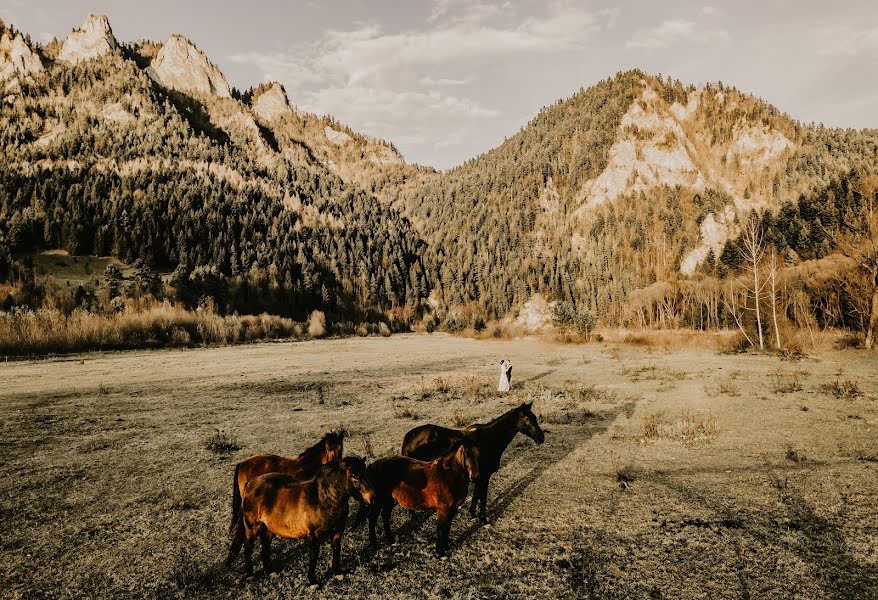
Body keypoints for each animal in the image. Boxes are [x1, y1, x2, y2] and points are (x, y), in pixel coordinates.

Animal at [227, 458, 374, 584]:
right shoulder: (314, 536)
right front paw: (313, 581)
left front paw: (338, 573)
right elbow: (314, 556)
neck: (322, 499)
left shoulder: (338, 531)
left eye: (366, 472)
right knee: (248, 547)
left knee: (265, 546)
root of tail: (250, 484)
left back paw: (270, 571)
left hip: (268, 527)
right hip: (252, 526)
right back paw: (250, 574)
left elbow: (336, 550)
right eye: (354, 475)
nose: (372, 498)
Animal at [404, 404, 544, 524]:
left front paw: (472, 514)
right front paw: (483, 519)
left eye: (534, 417)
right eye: (526, 418)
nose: (541, 438)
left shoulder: (478, 475)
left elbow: (476, 495)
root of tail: (409, 437)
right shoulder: (485, 475)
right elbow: (483, 497)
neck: (490, 439)